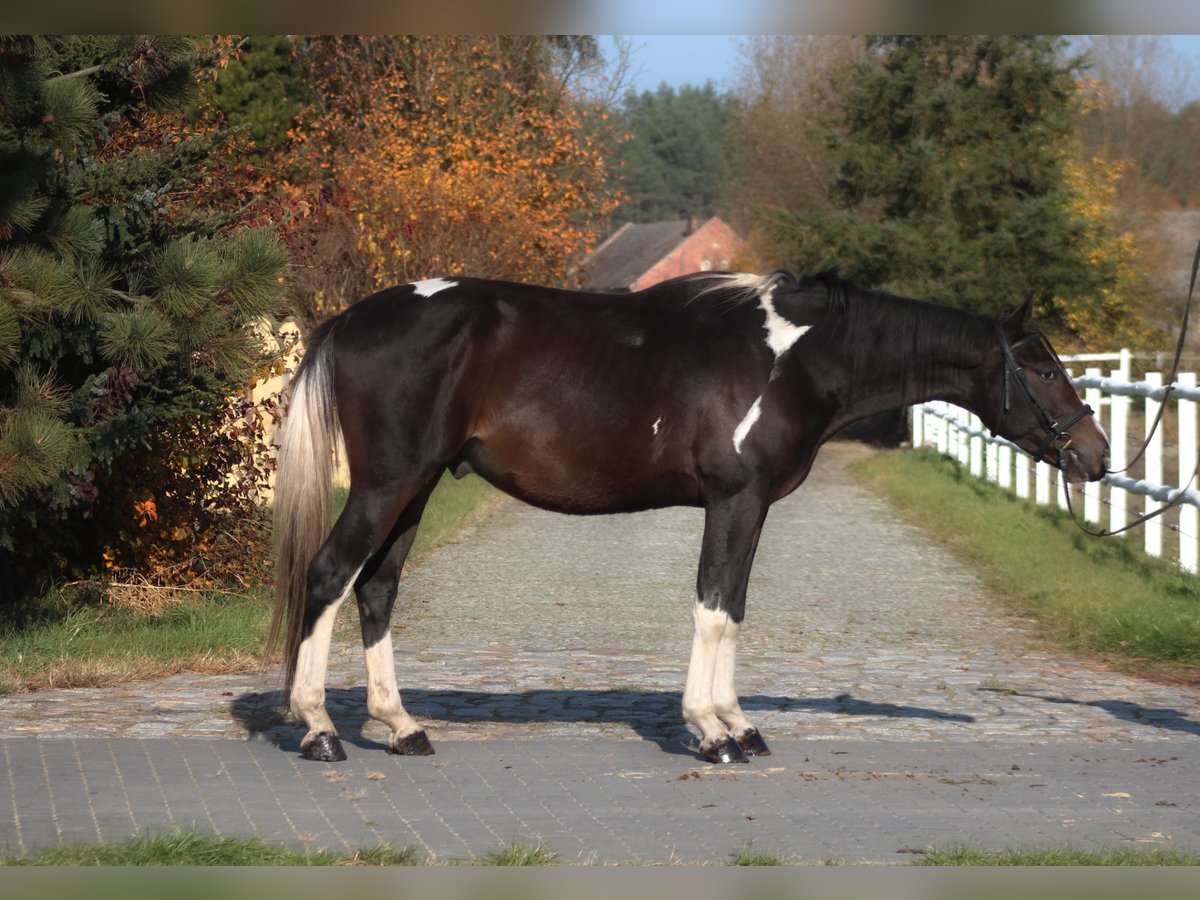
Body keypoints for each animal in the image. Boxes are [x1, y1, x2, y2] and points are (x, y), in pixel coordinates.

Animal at [270, 270, 1104, 768]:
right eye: (1041, 368)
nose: (1094, 455)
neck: (792, 358)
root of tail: (354, 316)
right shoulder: (734, 499)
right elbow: (713, 607)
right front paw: (711, 732)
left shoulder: (751, 506)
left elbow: (732, 608)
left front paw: (739, 724)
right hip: (389, 482)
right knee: (330, 574)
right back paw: (318, 729)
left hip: (415, 489)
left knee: (377, 590)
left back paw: (401, 726)